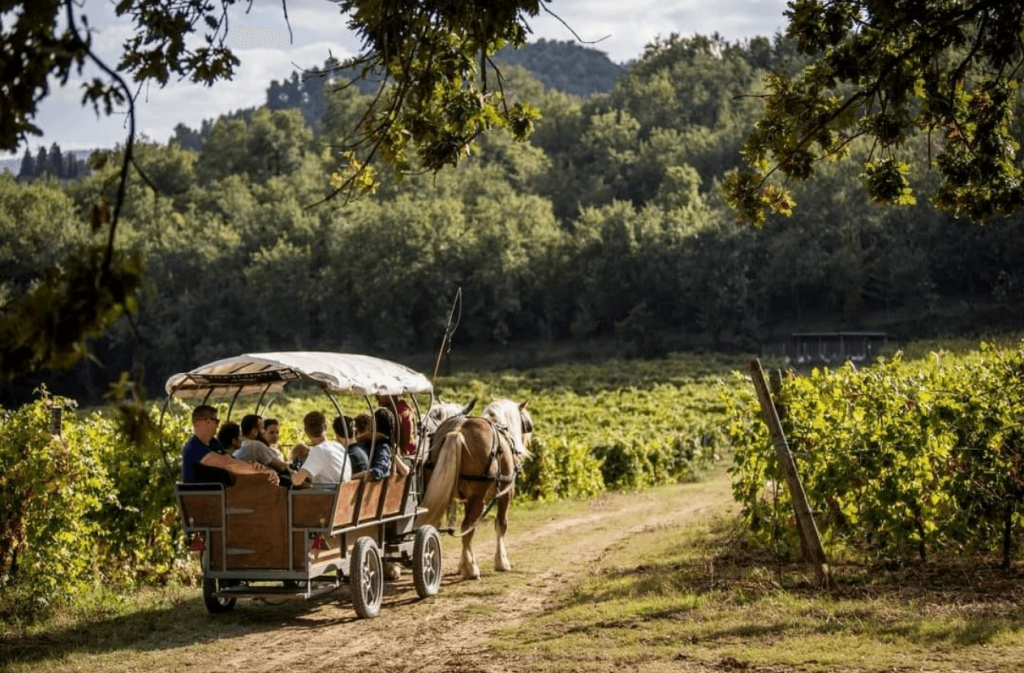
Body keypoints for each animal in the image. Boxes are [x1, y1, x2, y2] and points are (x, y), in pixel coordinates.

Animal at [415, 399, 532, 577]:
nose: (520, 449)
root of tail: (457, 431)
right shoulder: (506, 493)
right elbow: (501, 524)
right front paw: (501, 561)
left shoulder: (465, 499)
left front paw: (461, 564)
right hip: (478, 497)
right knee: (467, 527)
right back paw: (471, 569)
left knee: (437, 525)